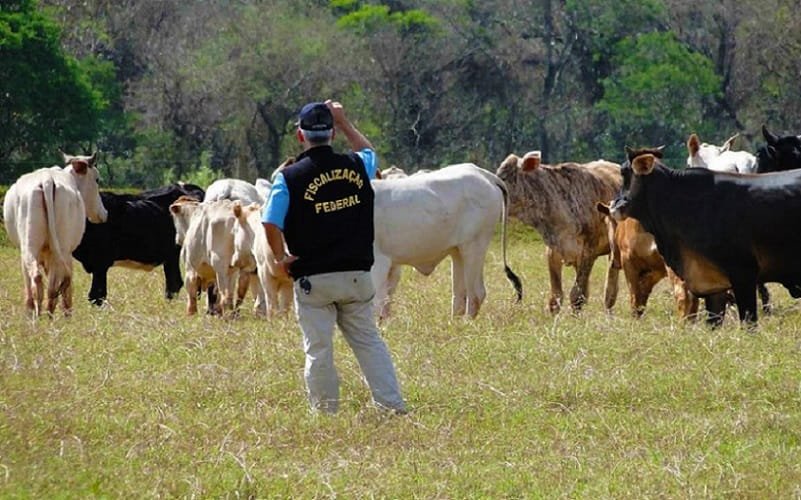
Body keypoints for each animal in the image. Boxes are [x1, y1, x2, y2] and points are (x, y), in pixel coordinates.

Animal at [3, 153, 108, 316]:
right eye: (97, 179)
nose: (104, 214)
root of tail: (47, 180)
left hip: (31, 247)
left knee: (40, 279)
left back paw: (38, 314)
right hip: (62, 250)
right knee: (55, 283)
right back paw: (57, 313)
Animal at [372, 164, 520, 320]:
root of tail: (484, 174)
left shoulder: (379, 263)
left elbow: (377, 303)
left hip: (474, 246)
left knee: (476, 293)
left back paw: (467, 323)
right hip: (458, 252)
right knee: (460, 296)